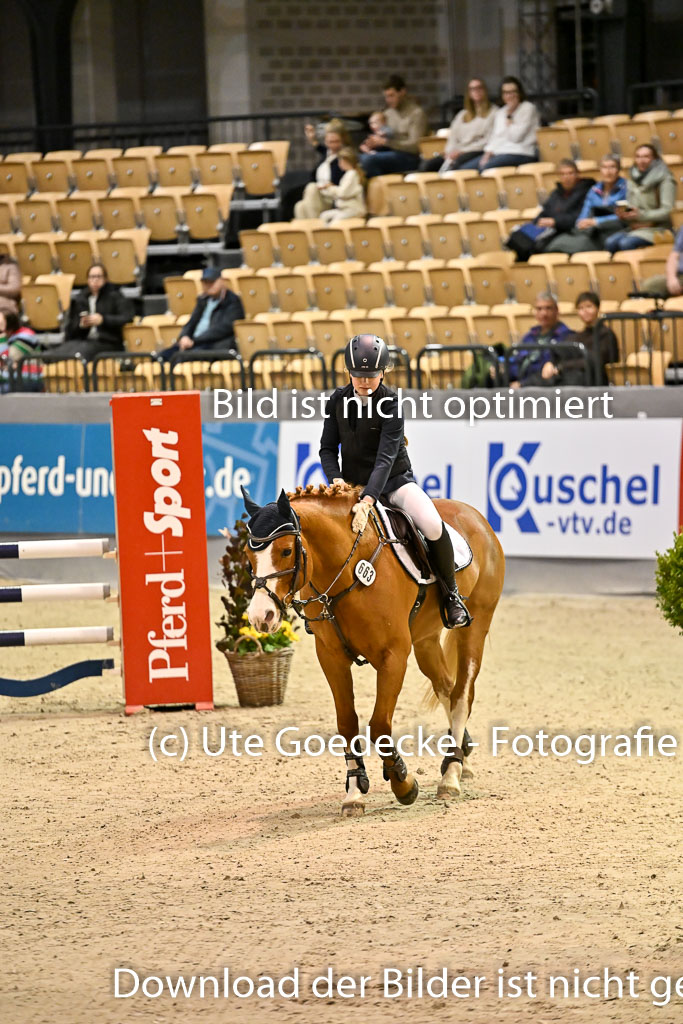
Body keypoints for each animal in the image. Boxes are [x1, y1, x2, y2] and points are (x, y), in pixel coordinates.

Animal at [242, 482, 505, 816]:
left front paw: (403, 783)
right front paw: (355, 792)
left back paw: (451, 776)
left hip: (475, 626)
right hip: (426, 640)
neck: (346, 569)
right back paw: (462, 758)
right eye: (248, 554)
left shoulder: (393, 656)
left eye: (286, 551)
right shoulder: (331, 658)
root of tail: (475, 515)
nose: (260, 617)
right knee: (446, 686)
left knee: (461, 695)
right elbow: (347, 723)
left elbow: (379, 725)